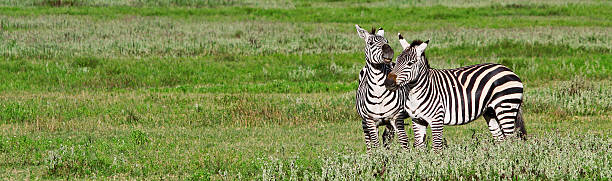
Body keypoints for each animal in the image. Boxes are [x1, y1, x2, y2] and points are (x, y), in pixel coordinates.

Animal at [388, 33, 524, 150]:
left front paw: (436, 164)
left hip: (506, 107)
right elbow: (420, 148)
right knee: (501, 139)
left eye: (410, 63)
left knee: (511, 140)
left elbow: (437, 148)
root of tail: (509, 70)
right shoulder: (417, 120)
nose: (388, 82)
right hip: (490, 112)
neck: (415, 93)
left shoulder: (437, 119)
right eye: (397, 60)